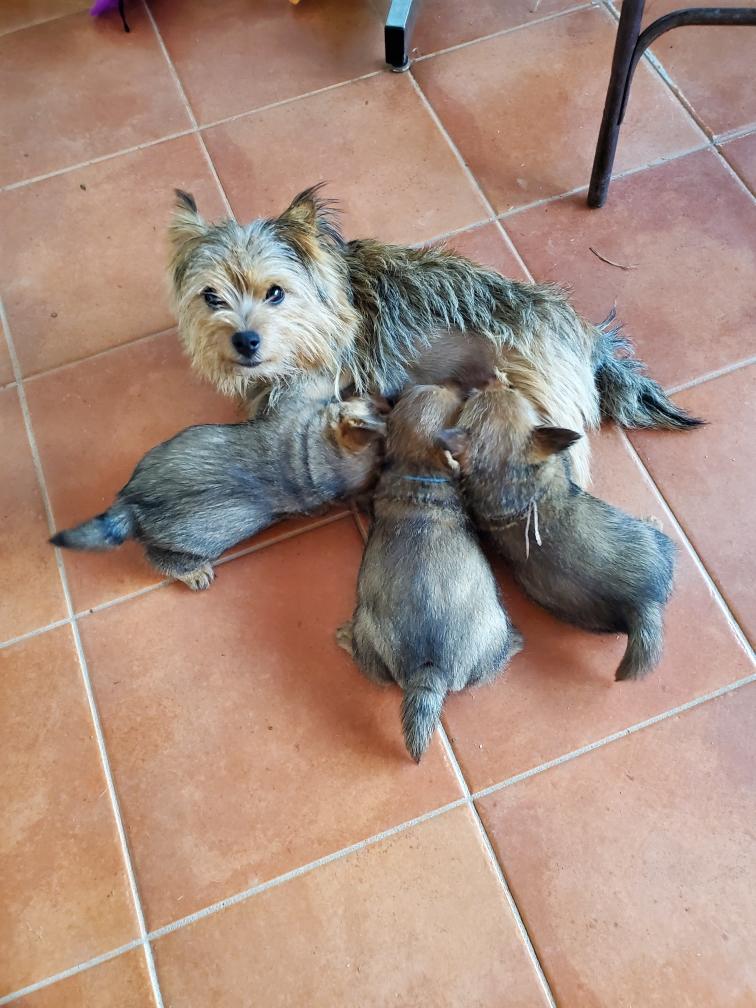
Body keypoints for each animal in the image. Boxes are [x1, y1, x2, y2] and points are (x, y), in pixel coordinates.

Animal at [50, 376, 386, 589]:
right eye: (376, 407)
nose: (384, 396)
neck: (316, 459)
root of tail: (131, 505)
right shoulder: (298, 403)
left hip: (191, 544)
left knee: (159, 559)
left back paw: (194, 574)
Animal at [445, 374, 676, 681]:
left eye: (510, 391)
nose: (493, 378)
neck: (510, 476)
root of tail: (643, 605)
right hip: (655, 542)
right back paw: (654, 520)